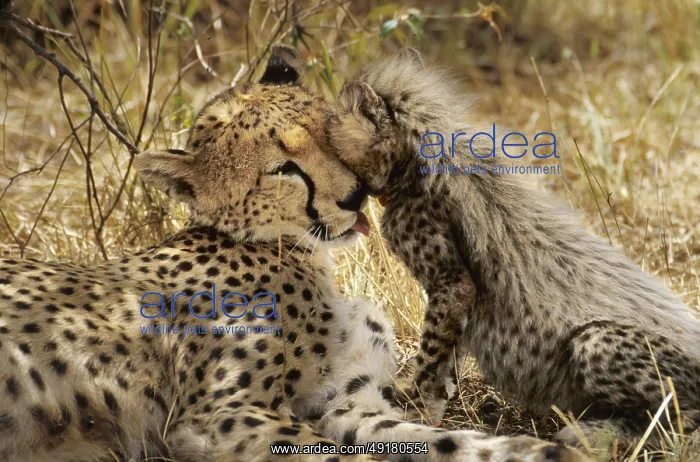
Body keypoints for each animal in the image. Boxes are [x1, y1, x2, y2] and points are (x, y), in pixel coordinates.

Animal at [0, 44, 589, 462]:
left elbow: (431, 436)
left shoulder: (345, 399)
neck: (293, 252)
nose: (353, 196)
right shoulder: (213, 417)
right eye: (283, 169)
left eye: (330, 134)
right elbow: (340, 459)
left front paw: (546, 449)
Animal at [326, 47, 700, 449]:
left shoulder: (452, 283)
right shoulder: (458, 298)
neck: (415, 158)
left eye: (329, 135)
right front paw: (435, 402)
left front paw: (417, 409)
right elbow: (447, 353)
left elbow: (431, 354)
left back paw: (593, 432)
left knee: (682, 417)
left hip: (593, 339)